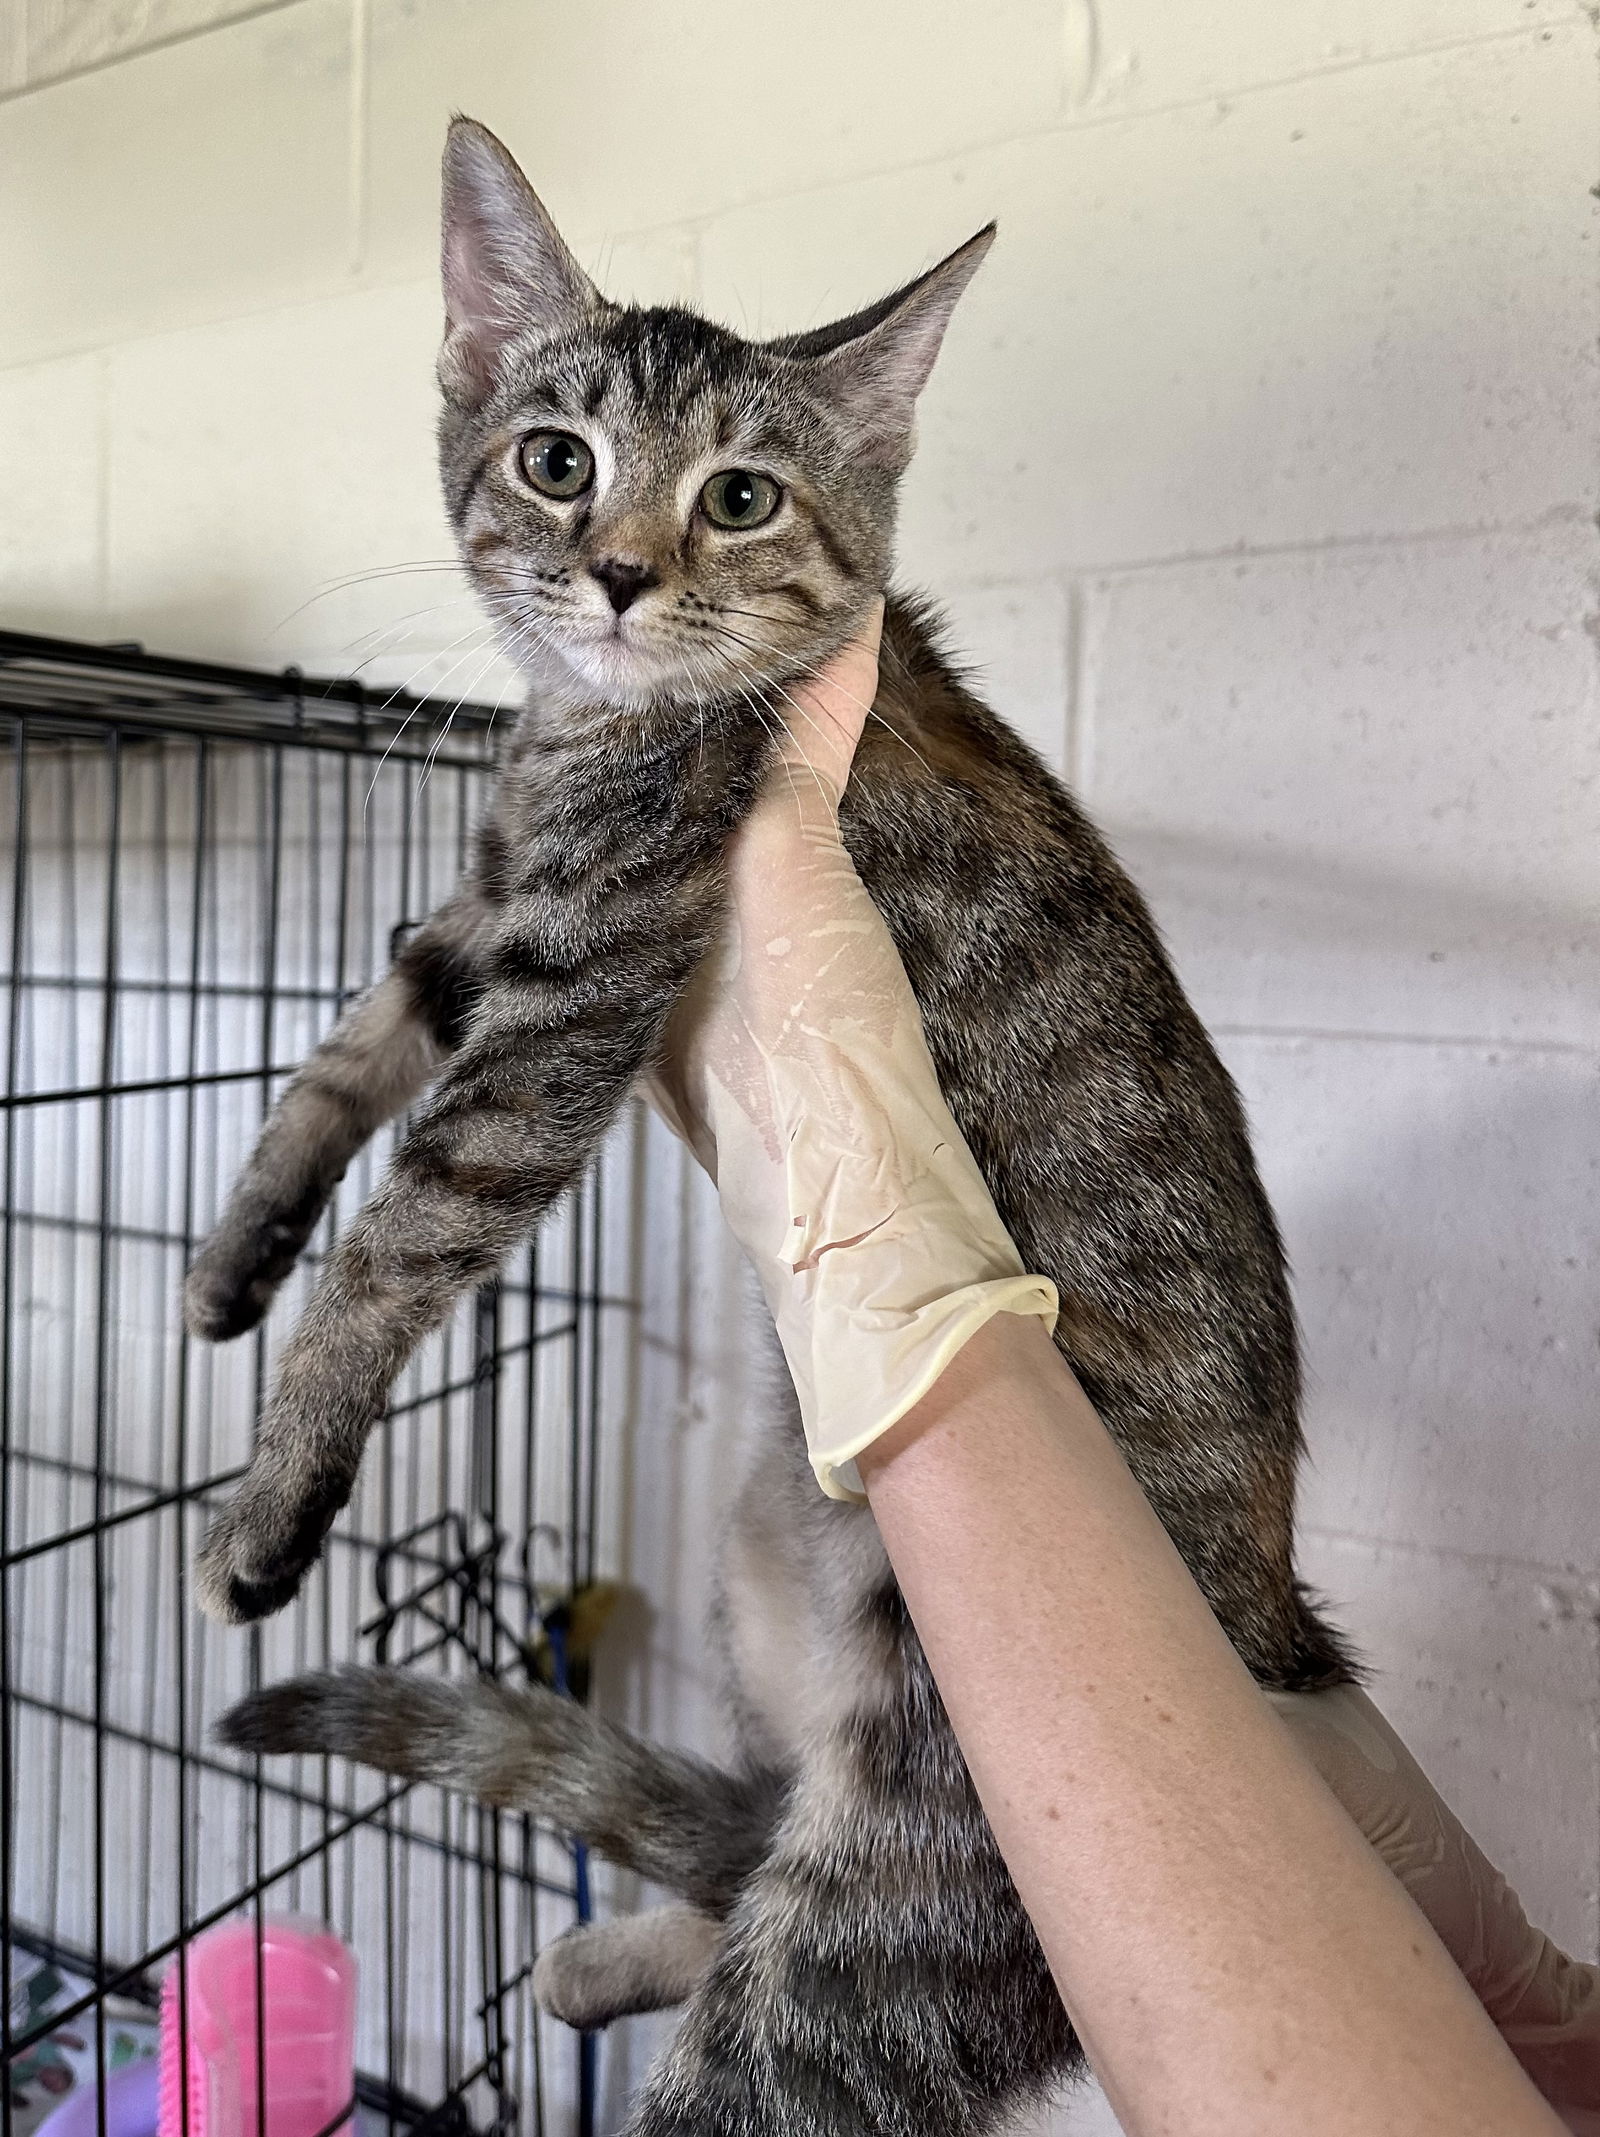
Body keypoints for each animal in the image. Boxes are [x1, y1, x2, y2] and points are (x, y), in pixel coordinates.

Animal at [209, 121, 1350, 2137]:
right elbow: (351, 1049)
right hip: (758, 1571)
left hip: (926, 1859)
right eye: (557, 458)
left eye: (740, 498)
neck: (591, 726)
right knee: (740, 1853)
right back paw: (614, 1948)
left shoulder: (582, 984)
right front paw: (237, 1247)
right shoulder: (499, 902)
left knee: (784, 2007)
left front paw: (278, 1487)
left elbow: (408, 1227)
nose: (619, 575)